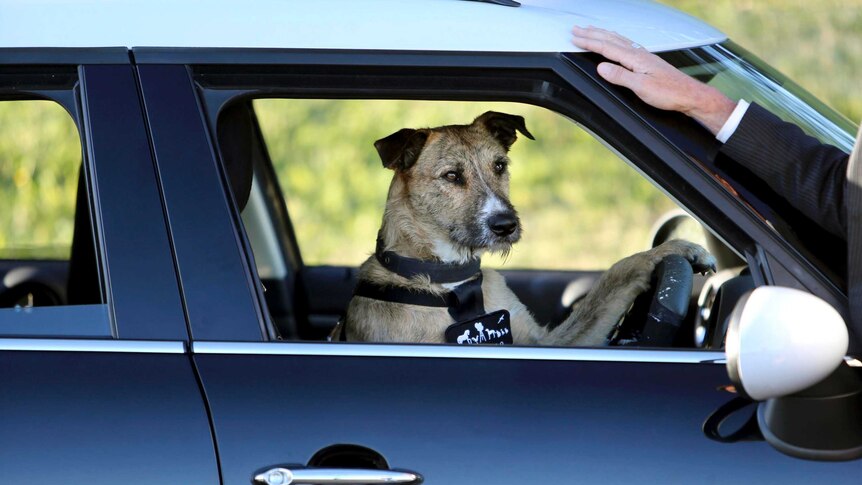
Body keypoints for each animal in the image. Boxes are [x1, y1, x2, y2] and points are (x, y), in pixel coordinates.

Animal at [342, 110, 716, 344]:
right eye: (451, 176)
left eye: (499, 165)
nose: (506, 225)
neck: (452, 280)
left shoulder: (549, 341)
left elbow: (612, 281)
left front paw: (674, 249)